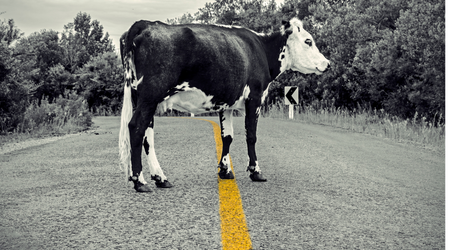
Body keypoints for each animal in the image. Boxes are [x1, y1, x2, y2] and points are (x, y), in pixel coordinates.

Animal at [119, 17, 330, 192]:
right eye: (308, 41)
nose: (327, 63)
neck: (262, 49)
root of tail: (145, 23)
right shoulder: (255, 97)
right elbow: (251, 136)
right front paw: (256, 171)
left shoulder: (226, 103)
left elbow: (227, 137)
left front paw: (225, 171)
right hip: (150, 94)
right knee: (136, 127)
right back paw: (140, 181)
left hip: (144, 98)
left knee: (147, 136)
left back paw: (160, 178)